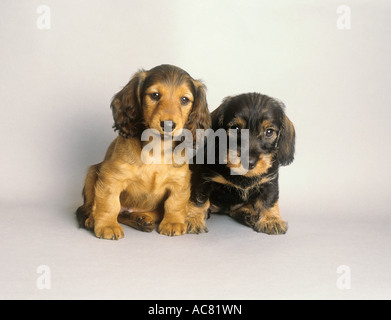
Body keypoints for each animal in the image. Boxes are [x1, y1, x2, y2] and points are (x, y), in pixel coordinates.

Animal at [77, 65, 211, 239]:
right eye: (155, 95)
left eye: (184, 100)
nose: (168, 124)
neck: (158, 147)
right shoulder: (111, 177)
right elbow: (109, 204)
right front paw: (107, 225)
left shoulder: (180, 181)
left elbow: (175, 203)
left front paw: (173, 222)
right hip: (93, 172)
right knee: (93, 207)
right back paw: (93, 219)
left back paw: (141, 219)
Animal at [191, 92, 296, 235]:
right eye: (235, 128)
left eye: (269, 132)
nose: (249, 162)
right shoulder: (205, 178)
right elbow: (199, 200)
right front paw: (194, 219)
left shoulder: (270, 182)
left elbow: (268, 201)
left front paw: (271, 220)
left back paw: (250, 214)